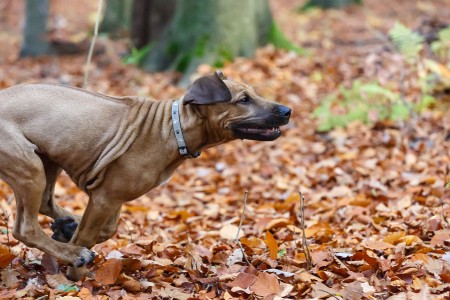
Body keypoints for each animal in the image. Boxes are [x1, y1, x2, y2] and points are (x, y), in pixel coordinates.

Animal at [0, 70, 292, 278]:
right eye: (244, 100)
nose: (287, 110)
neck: (173, 128)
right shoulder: (106, 197)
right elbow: (91, 235)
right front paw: (76, 272)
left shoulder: (111, 195)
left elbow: (106, 230)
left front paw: (70, 233)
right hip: (30, 167)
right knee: (26, 227)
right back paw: (72, 252)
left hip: (47, 159)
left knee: (45, 202)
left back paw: (66, 226)